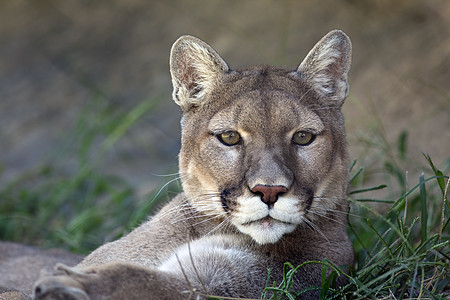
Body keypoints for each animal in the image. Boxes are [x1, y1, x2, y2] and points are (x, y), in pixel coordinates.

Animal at [2, 28, 356, 300]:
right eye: (229, 137)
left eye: (303, 138)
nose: (269, 190)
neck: (209, 228)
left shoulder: (235, 282)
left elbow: (150, 283)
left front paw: (72, 285)